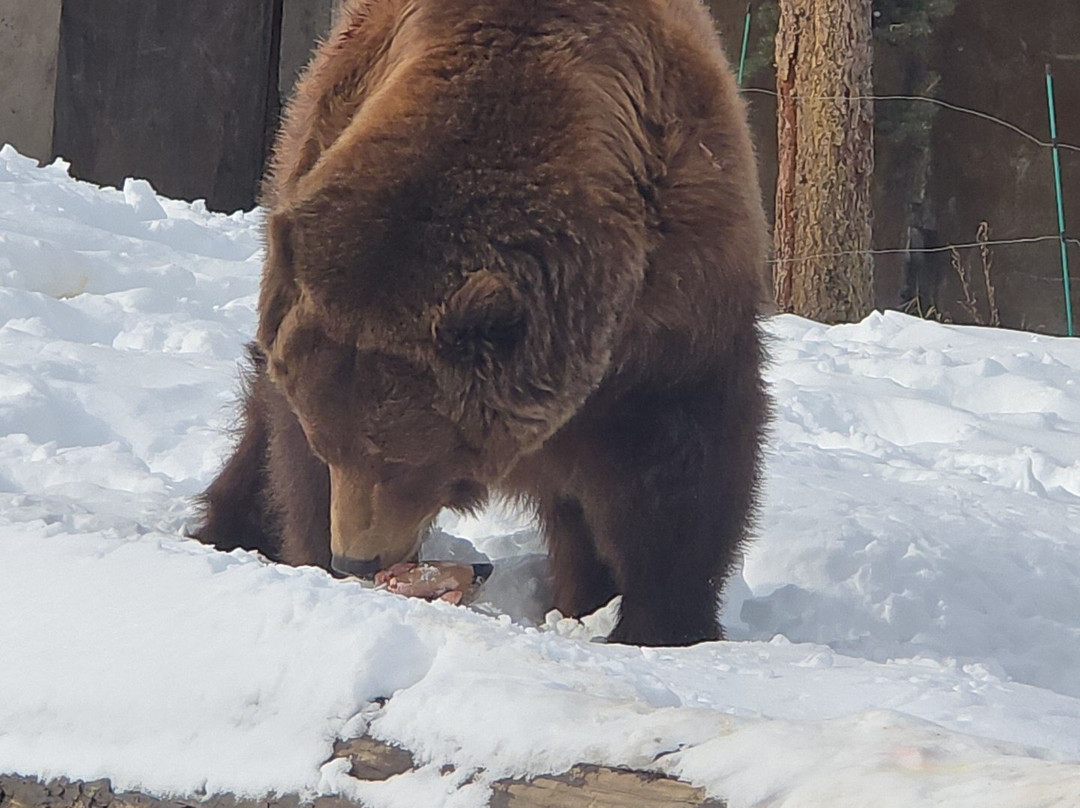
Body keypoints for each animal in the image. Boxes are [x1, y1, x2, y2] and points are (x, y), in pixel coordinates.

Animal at [194, 0, 769, 647]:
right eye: (329, 446)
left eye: (403, 461)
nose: (356, 558)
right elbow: (291, 457)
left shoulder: (676, 303)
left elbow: (679, 473)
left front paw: (660, 625)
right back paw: (230, 525)